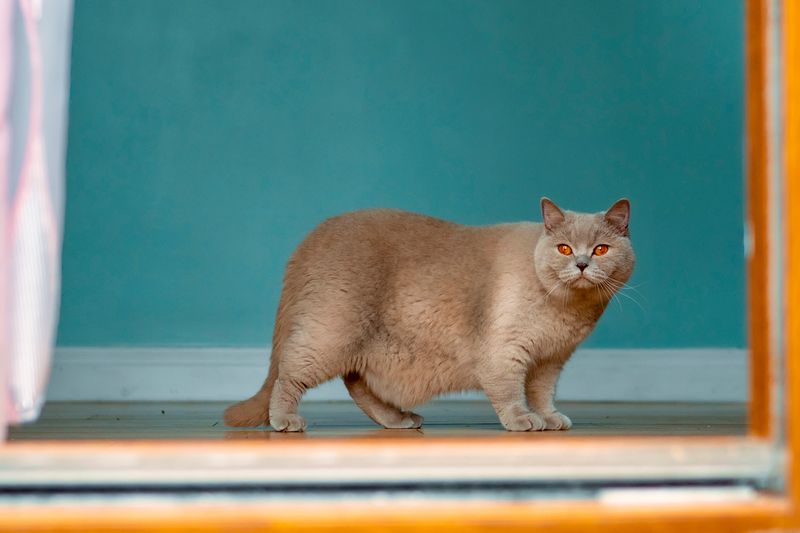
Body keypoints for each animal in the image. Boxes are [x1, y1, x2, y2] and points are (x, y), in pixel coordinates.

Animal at [223, 197, 632, 430]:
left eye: (600, 249)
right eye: (564, 249)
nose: (581, 264)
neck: (566, 309)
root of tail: (311, 238)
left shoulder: (551, 360)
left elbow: (543, 393)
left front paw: (549, 418)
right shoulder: (507, 352)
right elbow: (511, 391)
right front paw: (523, 421)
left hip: (367, 344)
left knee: (357, 384)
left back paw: (399, 420)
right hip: (330, 334)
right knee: (289, 376)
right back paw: (285, 421)